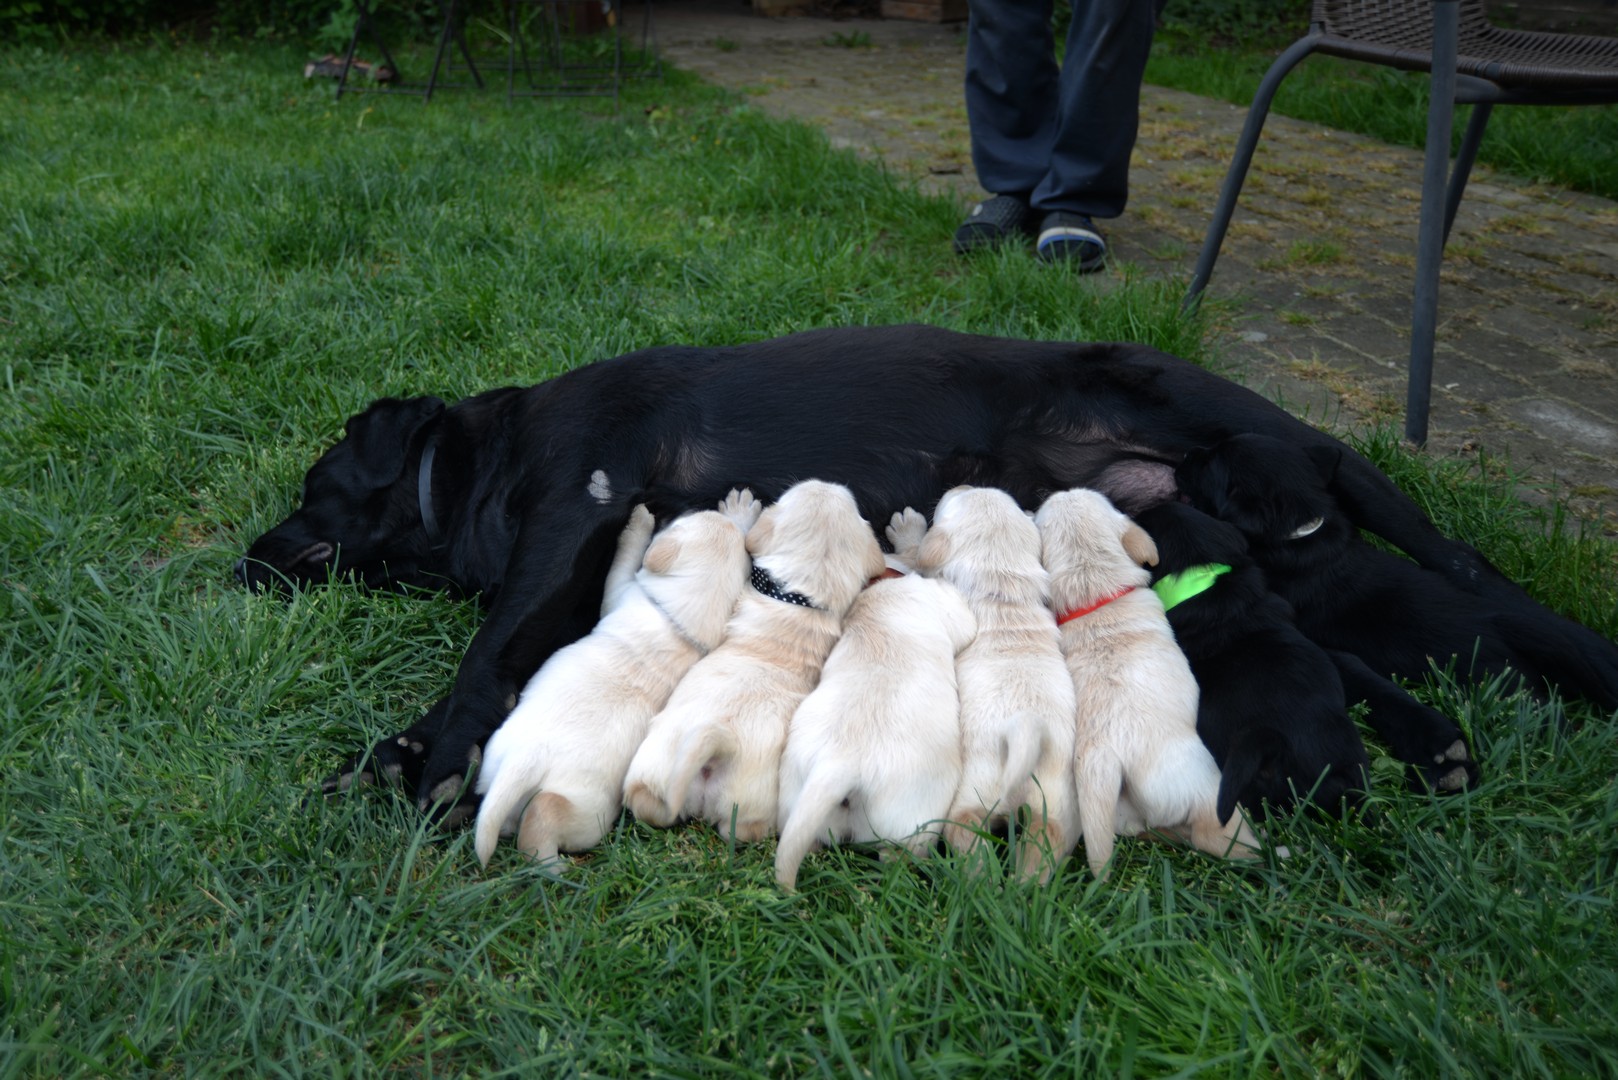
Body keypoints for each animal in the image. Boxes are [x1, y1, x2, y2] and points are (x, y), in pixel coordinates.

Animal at [471, 492, 760, 865]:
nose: (680, 508)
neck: (680, 625)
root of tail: (527, 760)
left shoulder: (618, 593)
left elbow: (624, 561)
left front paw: (638, 522)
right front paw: (740, 514)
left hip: (583, 813)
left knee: (542, 816)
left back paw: (550, 865)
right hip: (497, 759)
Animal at [773, 562, 977, 892]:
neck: (874, 601)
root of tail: (839, 764)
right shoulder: (947, 606)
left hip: (796, 802)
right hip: (916, 826)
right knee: (896, 859)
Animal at [889, 489, 1079, 882]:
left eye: (952, 502)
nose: (957, 485)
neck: (1003, 589)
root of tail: (1026, 737)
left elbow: (917, 557)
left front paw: (907, 530)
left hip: (972, 796)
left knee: (968, 836)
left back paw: (976, 879)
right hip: (1057, 808)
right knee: (1044, 846)